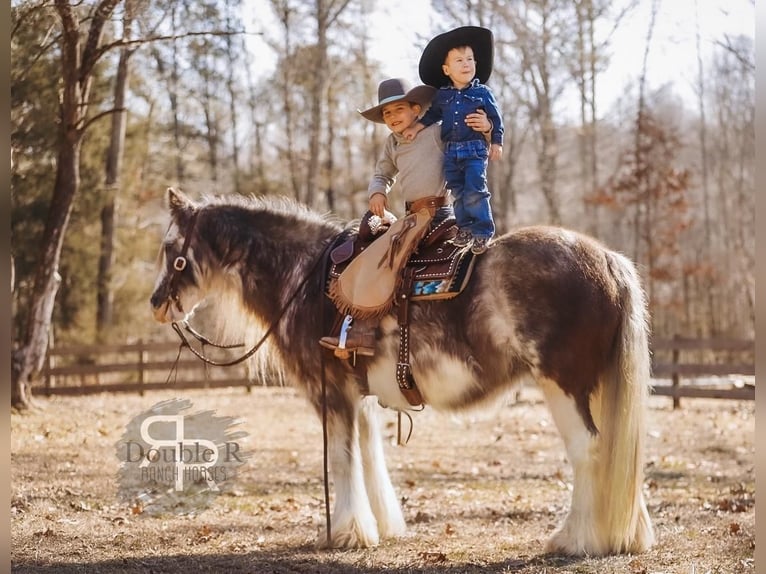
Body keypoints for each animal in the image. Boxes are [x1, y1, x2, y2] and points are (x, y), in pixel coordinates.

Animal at [152, 188, 660, 560]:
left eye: (172, 250)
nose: (157, 303)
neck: (306, 280)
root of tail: (608, 260)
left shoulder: (329, 393)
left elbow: (342, 459)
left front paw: (345, 531)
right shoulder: (357, 396)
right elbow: (368, 455)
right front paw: (379, 526)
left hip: (563, 387)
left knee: (588, 451)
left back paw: (574, 538)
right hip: (594, 388)